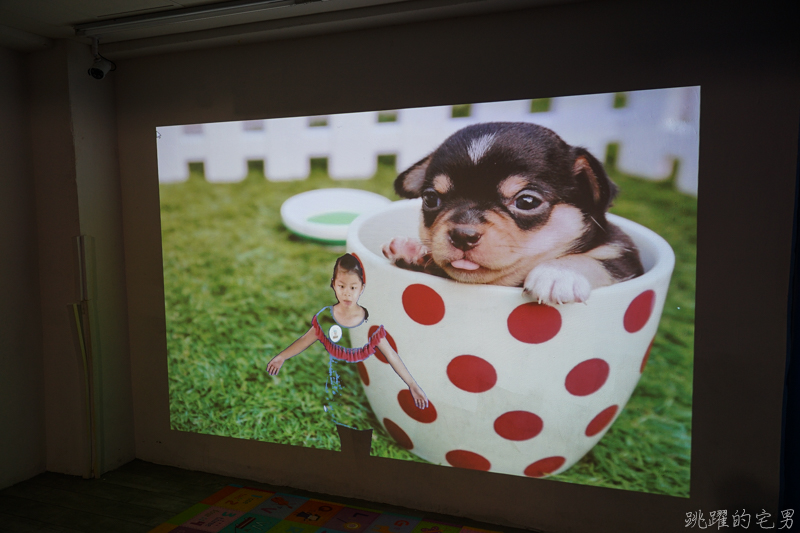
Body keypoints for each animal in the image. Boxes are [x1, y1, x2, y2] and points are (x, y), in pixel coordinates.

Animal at [382, 121, 644, 304]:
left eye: (527, 201)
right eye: (430, 198)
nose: (462, 235)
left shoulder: (624, 257)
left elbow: (598, 260)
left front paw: (558, 273)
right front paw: (413, 251)